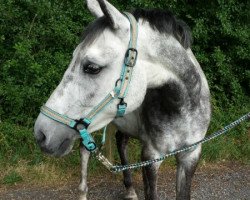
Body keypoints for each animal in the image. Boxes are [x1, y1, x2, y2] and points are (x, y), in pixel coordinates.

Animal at [34, 0, 211, 199]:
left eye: (92, 67)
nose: (41, 134)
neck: (183, 107)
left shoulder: (190, 155)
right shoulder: (152, 156)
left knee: (120, 141)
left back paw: (130, 189)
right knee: (85, 150)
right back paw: (84, 192)